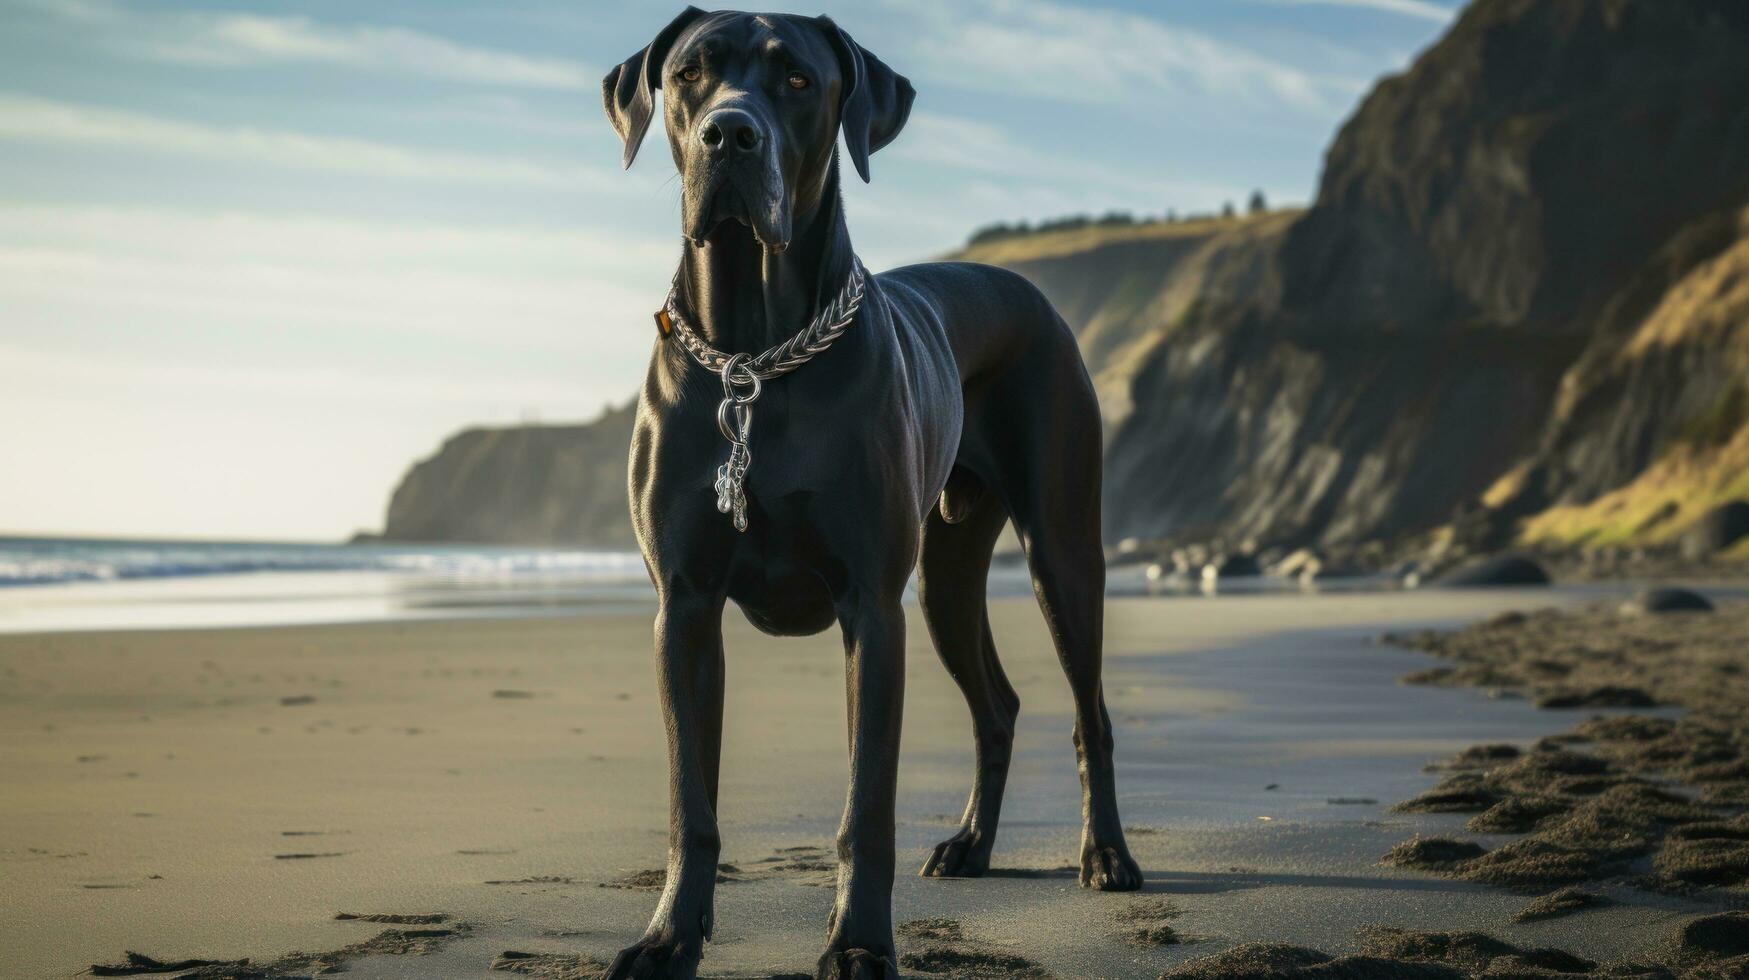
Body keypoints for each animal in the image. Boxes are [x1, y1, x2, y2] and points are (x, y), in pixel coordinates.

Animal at [605, 9, 1147, 980]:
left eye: (796, 80)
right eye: (688, 74)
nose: (728, 134)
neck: (754, 354)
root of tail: (1024, 288)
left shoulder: (870, 607)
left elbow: (866, 807)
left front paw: (857, 944)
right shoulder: (686, 607)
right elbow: (689, 805)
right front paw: (669, 938)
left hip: (1060, 553)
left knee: (1090, 714)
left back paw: (1106, 855)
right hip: (943, 579)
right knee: (997, 705)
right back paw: (971, 846)